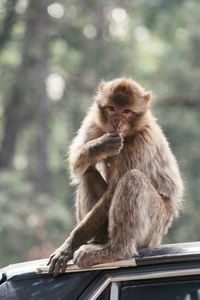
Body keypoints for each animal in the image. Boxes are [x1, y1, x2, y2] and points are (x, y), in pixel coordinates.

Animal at [47, 77, 184, 274]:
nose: (116, 124)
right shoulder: (94, 121)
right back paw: (98, 241)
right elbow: (76, 162)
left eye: (126, 111)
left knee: (132, 178)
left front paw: (70, 244)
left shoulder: (141, 142)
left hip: (156, 226)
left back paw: (115, 250)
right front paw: (98, 146)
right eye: (112, 109)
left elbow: (114, 190)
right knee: (87, 172)